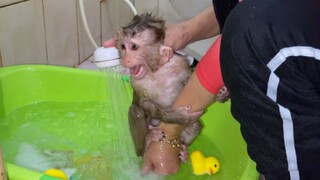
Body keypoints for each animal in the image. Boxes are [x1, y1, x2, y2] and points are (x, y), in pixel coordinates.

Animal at [117, 13, 202, 174]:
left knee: (196, 126)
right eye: (123, 46)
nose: (125, 59)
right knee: (136, 111)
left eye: (134, 47)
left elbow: (188, 78)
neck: (156, 72)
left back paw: (183, 151)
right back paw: (146, 142)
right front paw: (177, 116)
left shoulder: (179, 64)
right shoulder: (137, 82)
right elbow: (144, 104)